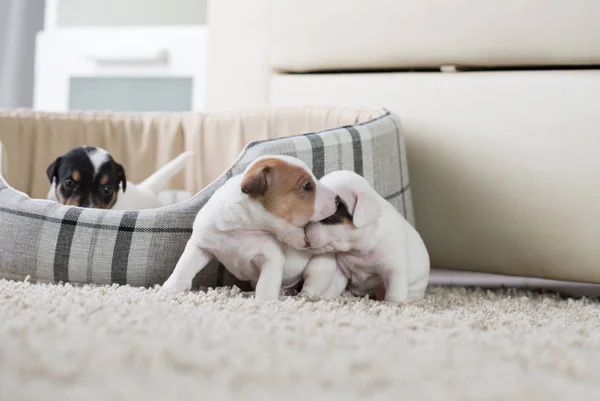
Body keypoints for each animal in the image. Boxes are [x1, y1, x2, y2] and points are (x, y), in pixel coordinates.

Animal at [163, 156, 342, 300]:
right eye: (306, 186)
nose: (338, 199)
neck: (245, 227)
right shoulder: (200, 245)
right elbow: (183, 267)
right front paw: (170, 289)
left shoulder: (271, 259)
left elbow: (266, 284)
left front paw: (264, 302)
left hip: (319, 268)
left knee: (312, 286)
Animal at [308, 170, 428, 302]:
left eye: (330, 215)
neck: (357, 248)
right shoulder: (341, 270)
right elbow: (334, 286)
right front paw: (327, 297)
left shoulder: (394, 268)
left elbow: (394, 290)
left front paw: (394, 303)